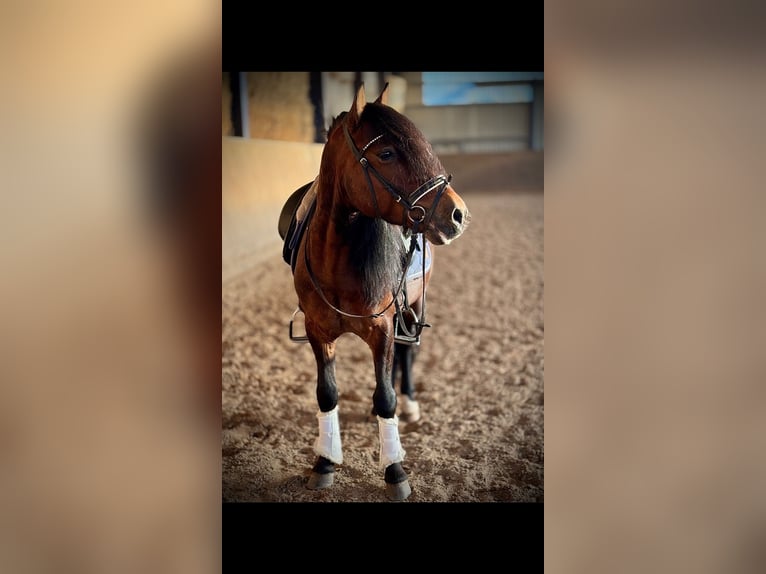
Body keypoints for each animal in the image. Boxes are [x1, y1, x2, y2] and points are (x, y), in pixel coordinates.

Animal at [278, 82, 470, 500]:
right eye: (386, 153)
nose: (458, 214)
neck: (336, 260)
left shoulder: (381, 328)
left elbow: (385, 397)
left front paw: (395, 470)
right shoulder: (318, 331)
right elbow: (327, 393)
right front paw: (324, 463)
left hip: (413, 305)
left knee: (407, 356)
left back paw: (410, 405)